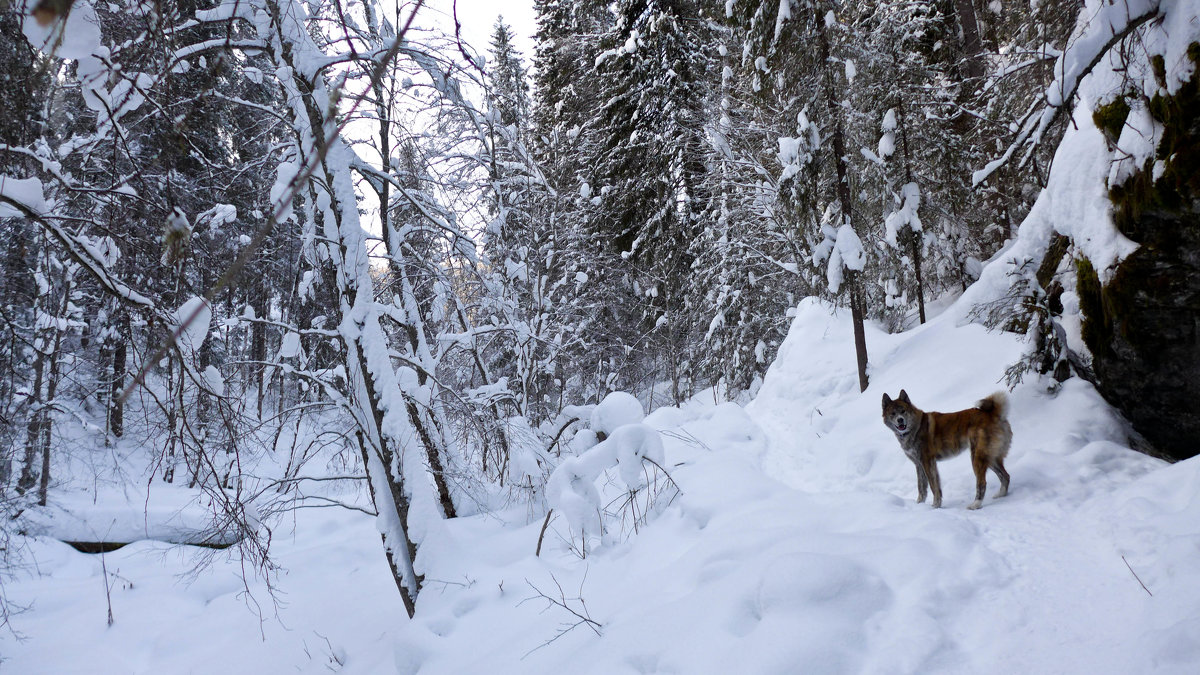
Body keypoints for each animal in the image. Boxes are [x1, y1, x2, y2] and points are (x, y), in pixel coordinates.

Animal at [883, 386, 1012, 506]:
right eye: (893, 414)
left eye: (903, 411)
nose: (900, 420)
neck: (915, 427)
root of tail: (994, 414)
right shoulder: (919, 464)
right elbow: (922, 487)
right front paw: (920, 504)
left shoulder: (927, 461)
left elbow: (933, 486)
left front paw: (934, 506)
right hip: (990, 457)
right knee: (1005, 476)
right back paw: (1000, 495)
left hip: (977, 457)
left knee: (982, 483)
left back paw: (975, 504)